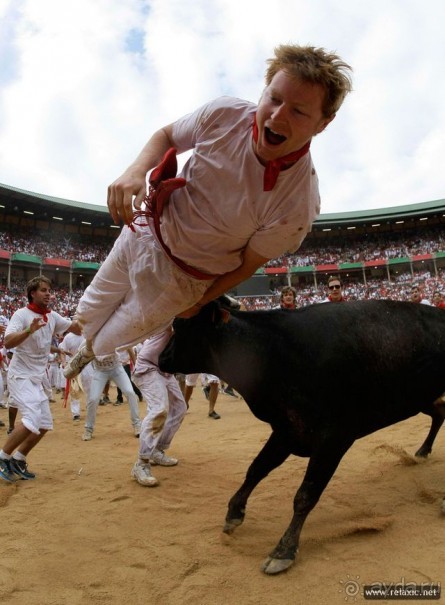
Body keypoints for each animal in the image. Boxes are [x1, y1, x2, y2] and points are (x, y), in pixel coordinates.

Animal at [158, 300, 444, 572]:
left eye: (181, 326)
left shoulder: (334, 439)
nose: (161, 357)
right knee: (439, 413)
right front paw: (234, 513)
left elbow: (305, 494)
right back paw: (422, 452)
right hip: (420, 399)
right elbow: (257, 468)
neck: (273, 352)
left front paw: (282, 551)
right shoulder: (286, 432)